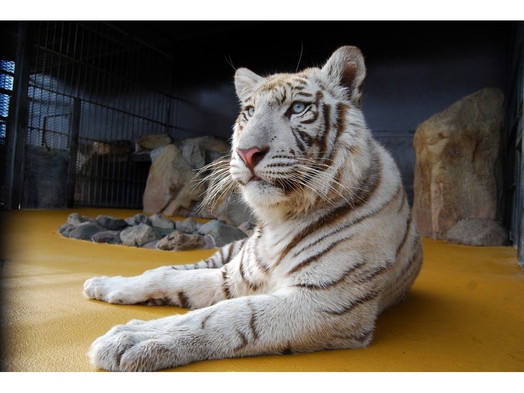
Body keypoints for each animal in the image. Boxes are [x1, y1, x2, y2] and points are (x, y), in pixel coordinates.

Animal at [84, 46, 424, 370]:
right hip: (229, 253)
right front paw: (111, 287)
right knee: (181, 267)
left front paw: (133, 339)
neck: (281, 218)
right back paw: (101, 283)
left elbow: (226, 315)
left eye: (297, 108)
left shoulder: (326, 299)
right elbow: (167, 277)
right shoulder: (237, 277)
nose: (246, 153)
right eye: (249, 111)